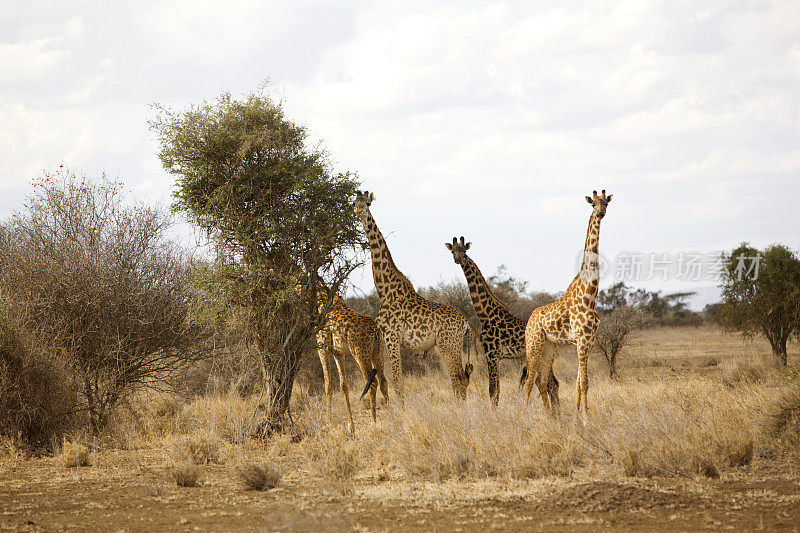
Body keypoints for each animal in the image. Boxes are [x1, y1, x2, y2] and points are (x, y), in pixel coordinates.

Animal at [314, 286, 390, 432]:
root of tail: (374, 330)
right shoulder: (338, 353)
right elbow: (343, 386)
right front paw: (351, 425)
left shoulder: (322, 346)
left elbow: (327, 385)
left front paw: (328, 421)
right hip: (378, 351)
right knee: (383, 381)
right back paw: (394, 415)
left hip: (360, 353)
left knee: (372, 383)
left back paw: (373, 422)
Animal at [352, 191, 476, 400]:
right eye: (354, 202)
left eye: (368, 203)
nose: (358, 211)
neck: (385, 290)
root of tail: (466, 323)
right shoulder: (384, 340)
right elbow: (389, 381)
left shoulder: (392, 338)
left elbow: (398, 384)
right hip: (453, 346)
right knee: (462, 380)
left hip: (448, 345)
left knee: (458, 379)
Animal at [446, 235, 560, 406]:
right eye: (453, 251)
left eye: (464, 251)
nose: (459, 259)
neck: (485, 314)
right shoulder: (496, 357)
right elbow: (497, 391)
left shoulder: (491, 354)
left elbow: (492, 391)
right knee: (553, 383)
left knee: (552, 384)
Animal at [524, 189, 612, 422]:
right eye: (593, 204)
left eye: (606, 203)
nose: (600, 213)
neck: (590, 295)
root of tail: (529, 320)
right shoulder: (581, 340)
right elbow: (584, 383)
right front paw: (585, 419)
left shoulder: (588, 341)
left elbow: (580, 383)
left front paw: (577, 416)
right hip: (534, 343)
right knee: (529, 380)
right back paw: (522, 416)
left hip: (550, 345)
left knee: (541, 380)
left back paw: (549, 418)